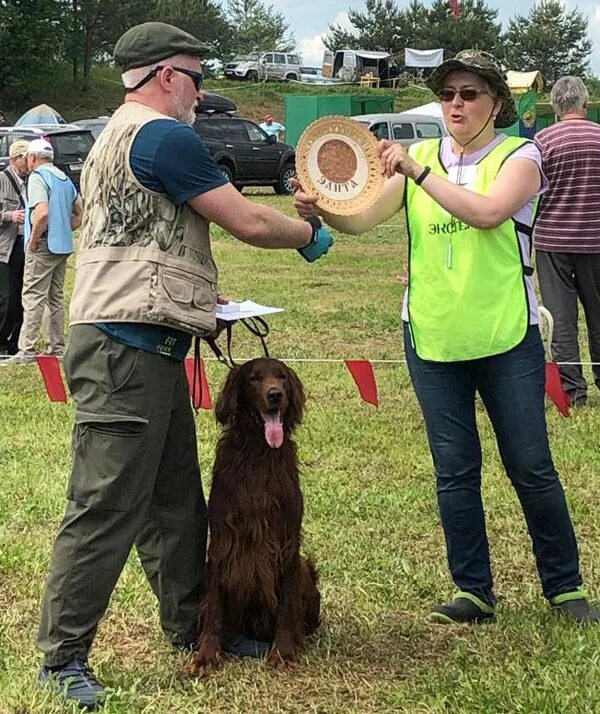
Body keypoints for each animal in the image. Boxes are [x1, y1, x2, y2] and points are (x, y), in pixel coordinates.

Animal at [189, 356, 322, 672]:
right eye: (254, 378)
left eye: (282, 377)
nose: (275, 395)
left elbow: (286, 608)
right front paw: (206, 655)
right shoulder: (223, 544)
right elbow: (213, 607)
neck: (260, 453)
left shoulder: (287, 543)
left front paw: (283, 652)